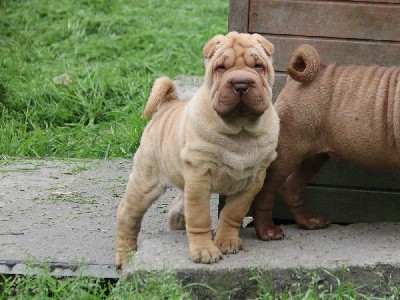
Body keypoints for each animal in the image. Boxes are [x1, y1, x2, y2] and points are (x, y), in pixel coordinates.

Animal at [114, 31, 280, 268]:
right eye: (221, 68)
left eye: (258, 66)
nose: (241, 84)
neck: (240, 131)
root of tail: (168, 104)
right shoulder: (199, 176)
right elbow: (200, 217)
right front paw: (204, 250)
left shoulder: (252, 180)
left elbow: (233, 213)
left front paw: (227, 240)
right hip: (145, 182)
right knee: (128, 216)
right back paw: (125, 256)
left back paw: (177, 222)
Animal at [252, 44, 400, 241]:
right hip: (288, 149)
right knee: (266, 189)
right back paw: (268, 231)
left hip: (314, 156)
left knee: (292, 187)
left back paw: (309, 221)